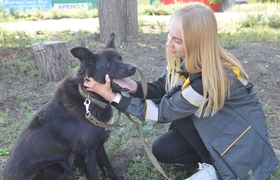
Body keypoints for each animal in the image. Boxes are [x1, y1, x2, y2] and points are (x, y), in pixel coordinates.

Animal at [3, 32, 137, 180]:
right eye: (109, 63)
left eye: (120, 58)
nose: (133, 68)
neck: (89, 97)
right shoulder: (87, 152)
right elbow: (95, 173)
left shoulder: (98, 144)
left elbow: (107, 166)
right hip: (58, 168)